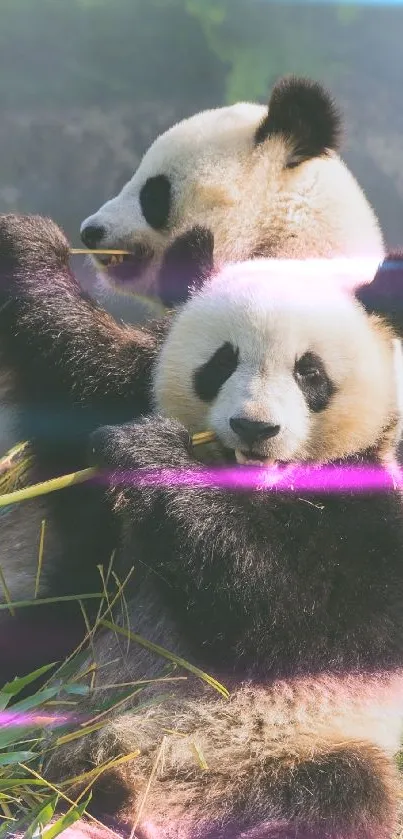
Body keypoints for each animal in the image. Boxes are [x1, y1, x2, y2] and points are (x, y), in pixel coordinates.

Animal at [0, 215, 403, 839]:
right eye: (221, 362)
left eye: (309, 372)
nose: (254, 427)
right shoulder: (117, 402)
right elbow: (81, 378)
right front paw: (29, 250)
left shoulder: (374, 522)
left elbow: (282, 608)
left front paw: (153, 459)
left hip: (295, 749)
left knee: (346, 794)